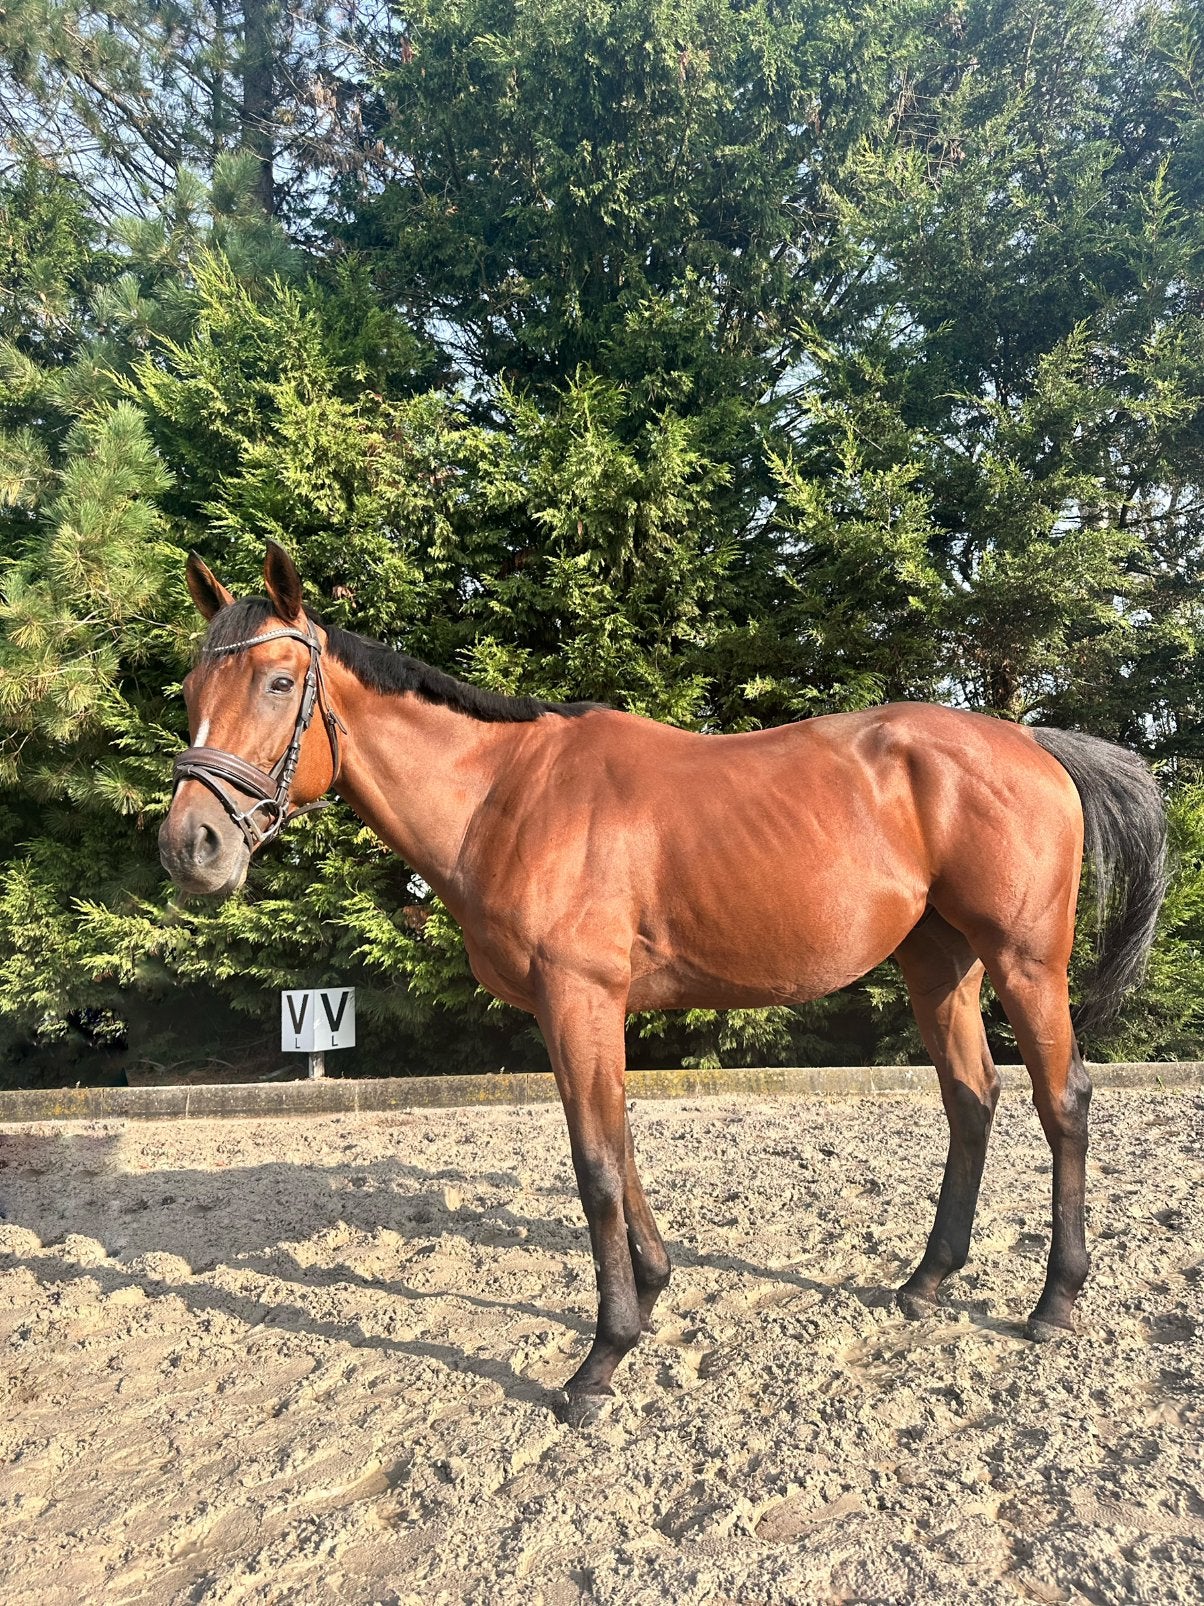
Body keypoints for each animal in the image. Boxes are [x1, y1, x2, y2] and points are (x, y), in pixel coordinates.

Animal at [159, 543, 1168, 1425]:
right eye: (191, 693)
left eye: (278, 683)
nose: (188, 847)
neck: (505, 796)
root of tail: (1032, 743)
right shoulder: (585, 1012)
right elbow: (617, 1144)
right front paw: (650, 1289)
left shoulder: (578, 999)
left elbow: (597, 1166)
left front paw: (601, 1358)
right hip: (938, 963)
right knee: (971, 1097)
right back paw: (926, 1281)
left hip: (1024, 962)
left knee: (1062, 1099)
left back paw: (1055, 1301)